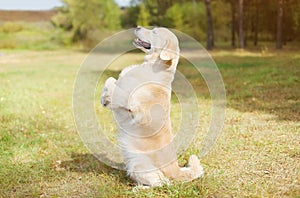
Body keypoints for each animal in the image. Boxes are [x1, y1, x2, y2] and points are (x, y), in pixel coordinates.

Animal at [101, 26, 204, 189]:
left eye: (155, 32)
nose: (137, 26)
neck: (153, 67)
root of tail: (176, 170)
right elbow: (111, 79)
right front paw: (105, 98)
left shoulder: (139, 111)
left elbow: (117, 87)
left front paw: (108, 96)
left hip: (139, 164)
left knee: (162, 183)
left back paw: (138, 189)